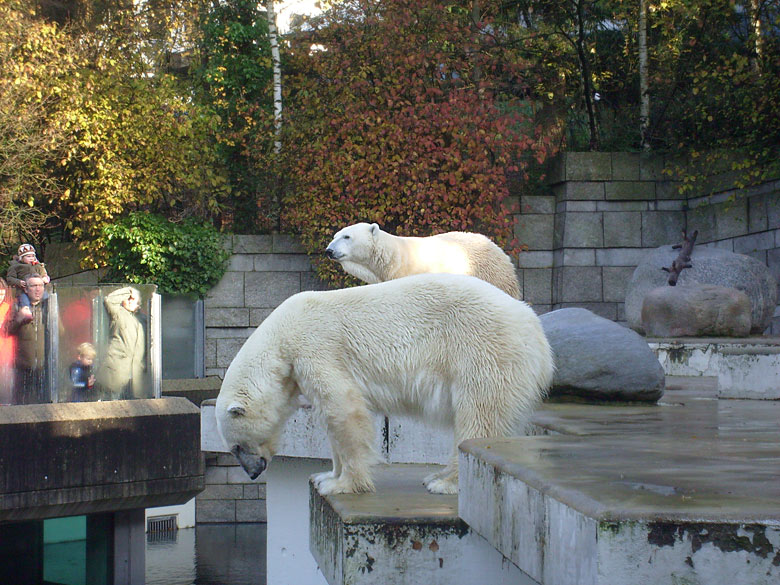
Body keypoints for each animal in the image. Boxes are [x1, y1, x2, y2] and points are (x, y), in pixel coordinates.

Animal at [215, 272, 556, 492]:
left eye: (236, 446)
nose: (253, 473)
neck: (282, 334)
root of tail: (536, 329)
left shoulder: (316, 348)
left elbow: (344, 408)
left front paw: (342, 485)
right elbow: (331, 417)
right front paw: (326, 476)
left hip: (483, 349)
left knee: (479, 416)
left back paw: (445, 483)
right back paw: (436, 476)